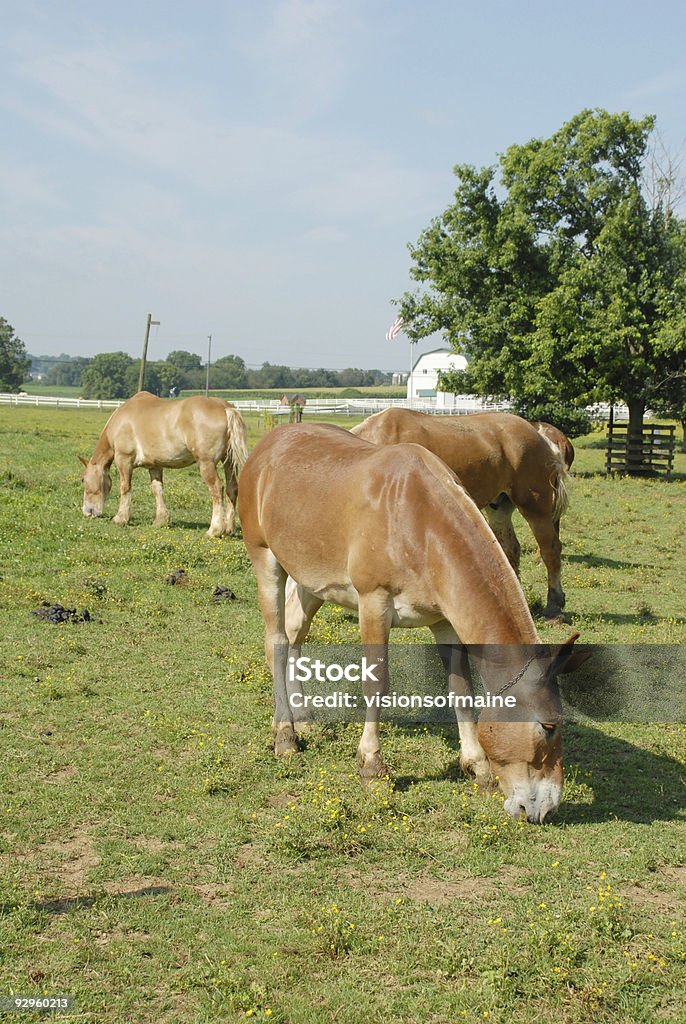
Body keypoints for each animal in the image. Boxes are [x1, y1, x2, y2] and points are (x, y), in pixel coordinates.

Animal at [80, 391, 248, 536]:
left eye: (83, 480)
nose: (87, 512)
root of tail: (225, 408)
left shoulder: (124, 460)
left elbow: (125, 488)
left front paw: (120, 518)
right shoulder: (154, 466)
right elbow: (157, 490)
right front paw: (160, 520)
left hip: (207, 463)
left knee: (217, 489)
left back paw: (214, 530)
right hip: (229, 462)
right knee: (232, 488)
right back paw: (229, 529)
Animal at [352, 407, 573, 614]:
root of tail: (542, 437)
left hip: (535, 509)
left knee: (551, 550)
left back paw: (554, 606)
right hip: (499, 509)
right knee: (511, 550)